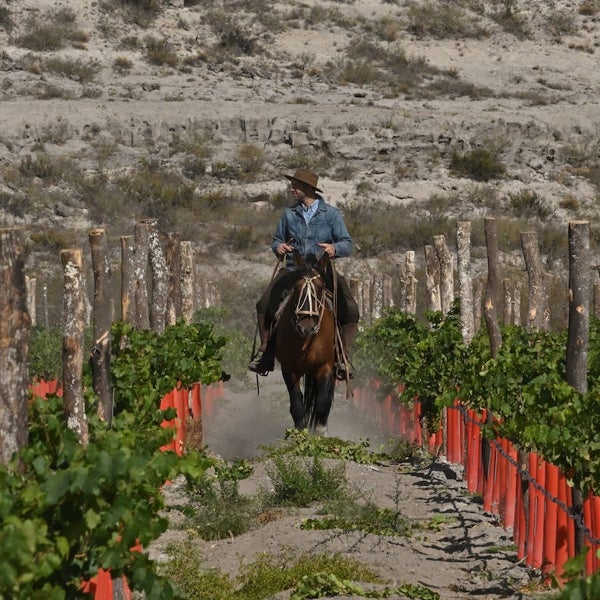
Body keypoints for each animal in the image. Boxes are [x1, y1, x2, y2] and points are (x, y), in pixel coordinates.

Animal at [274, 251, 336, 434]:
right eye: (296, 287)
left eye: (321, 287)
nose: (305, 327)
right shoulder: (289, 369)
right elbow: (297, 406)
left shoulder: (326, 366)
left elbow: (322, 403)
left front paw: (320, 433)